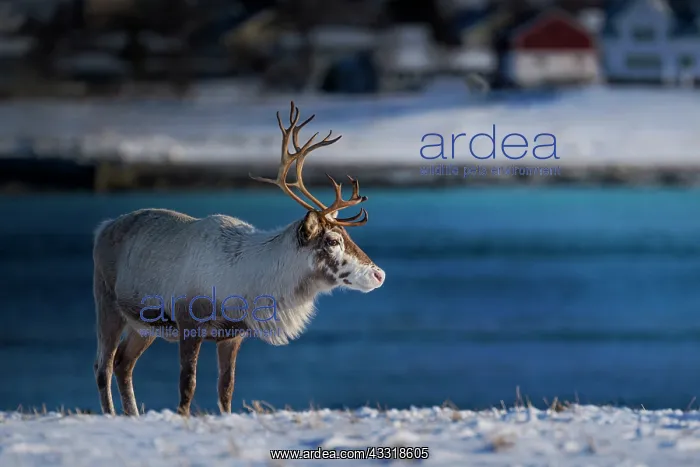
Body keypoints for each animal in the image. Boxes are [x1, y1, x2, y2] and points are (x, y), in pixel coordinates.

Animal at [92, 102, 386, 417]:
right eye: (332, 240)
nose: (379, 274)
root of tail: (102, 228)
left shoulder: (233, 335)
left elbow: (227, 388)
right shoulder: (188, 322)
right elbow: (188, 384)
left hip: (144, 325)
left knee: (124, 363)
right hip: (107, 304)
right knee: (103, 366)